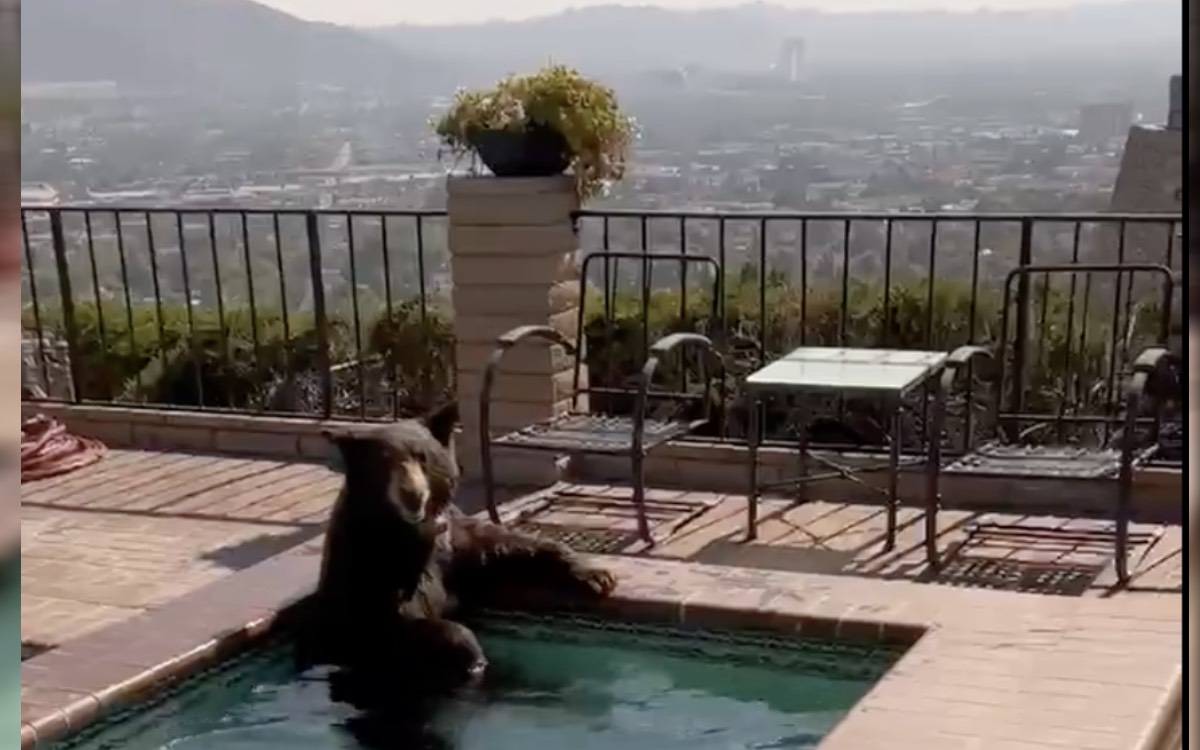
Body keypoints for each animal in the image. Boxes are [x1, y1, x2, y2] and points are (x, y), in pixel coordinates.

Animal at [300, 400, 619, 700]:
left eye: (422, 457)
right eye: (383, 462)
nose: (412, 494)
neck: (411, 530)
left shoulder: (450, 540)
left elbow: (500, 546)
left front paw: (596, 575)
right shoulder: (367, 564)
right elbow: (389, 624)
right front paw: (471, 653)